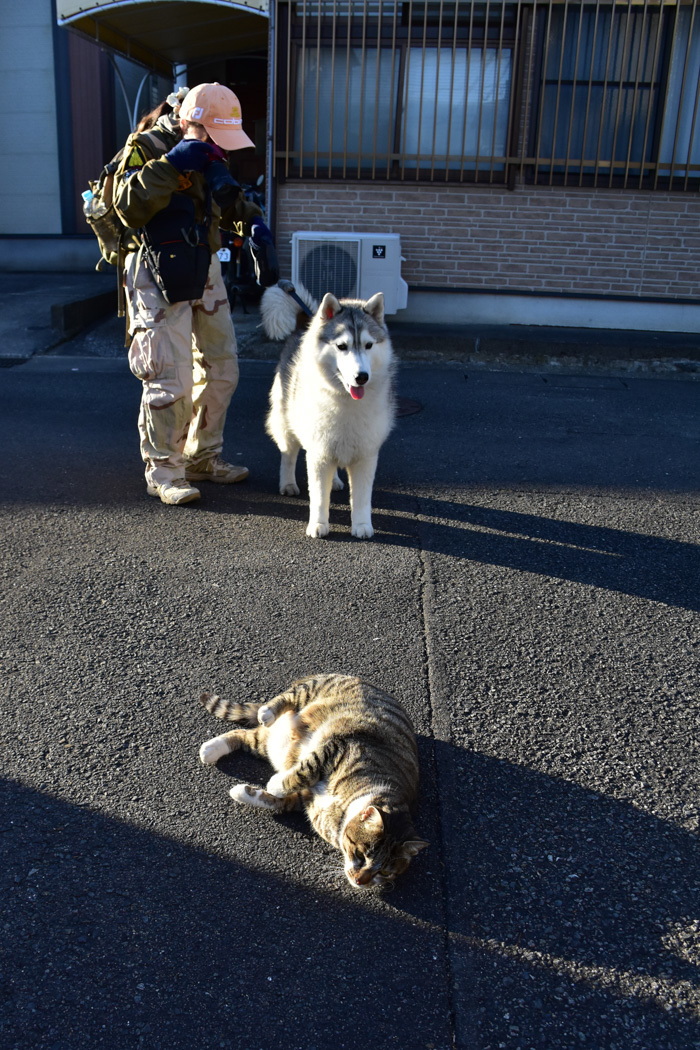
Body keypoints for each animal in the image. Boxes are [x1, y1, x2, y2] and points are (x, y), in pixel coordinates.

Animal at [197, 672, 428, 886]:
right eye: (361, 854)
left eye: (385, 873)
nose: (360, 881)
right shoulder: (338, 748)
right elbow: (305, 770)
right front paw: (276, 784)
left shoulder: (303, 799)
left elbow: (274, 801)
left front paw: (245, 792)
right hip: (318, 688)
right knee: (290, 697)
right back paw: (265, 714)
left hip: (270, 743)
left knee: (247, 735)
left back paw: (212, 749)